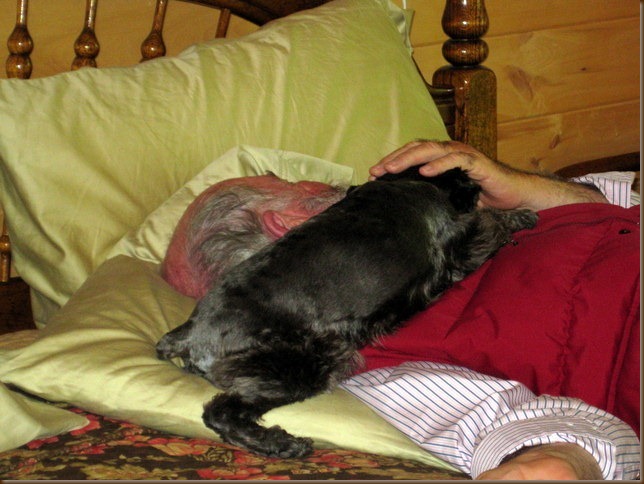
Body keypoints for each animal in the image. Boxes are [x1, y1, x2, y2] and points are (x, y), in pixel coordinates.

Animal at [156, 167, 538, 458]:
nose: (476, 183)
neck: (409, 181)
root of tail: (189, 332)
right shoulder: (456, 245)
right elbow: (488, 222)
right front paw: (520, 215)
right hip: (302, 363)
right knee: (221, 412)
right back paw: (282, 444)